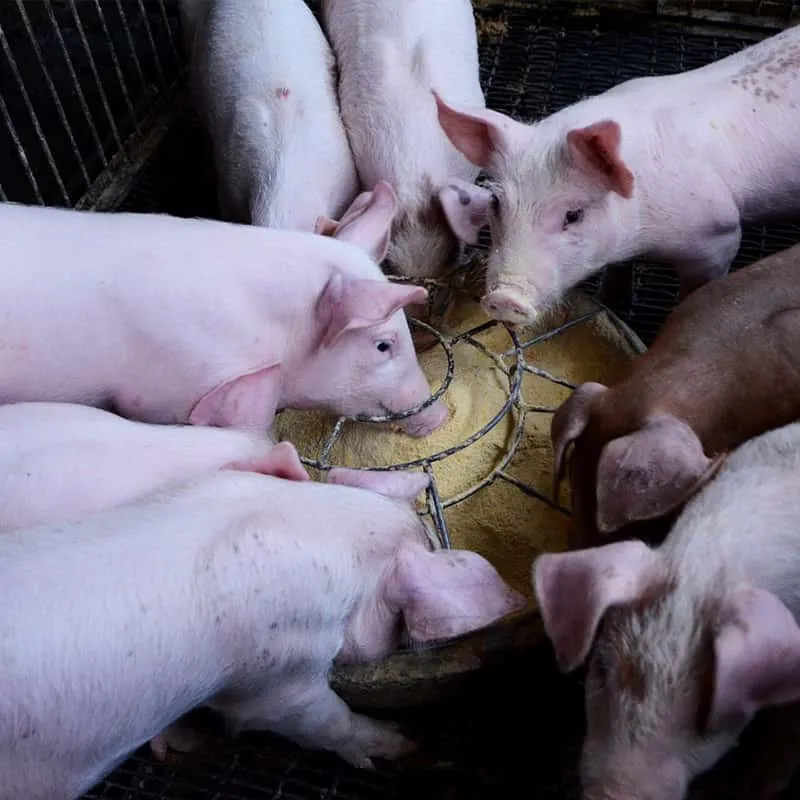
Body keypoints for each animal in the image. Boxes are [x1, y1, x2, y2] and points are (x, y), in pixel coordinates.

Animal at [434, 24, 800, 325]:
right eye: (496, 204)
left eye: (573, 214)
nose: (505, 298)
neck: (642, 236)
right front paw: (610, 301)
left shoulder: (720, 233)